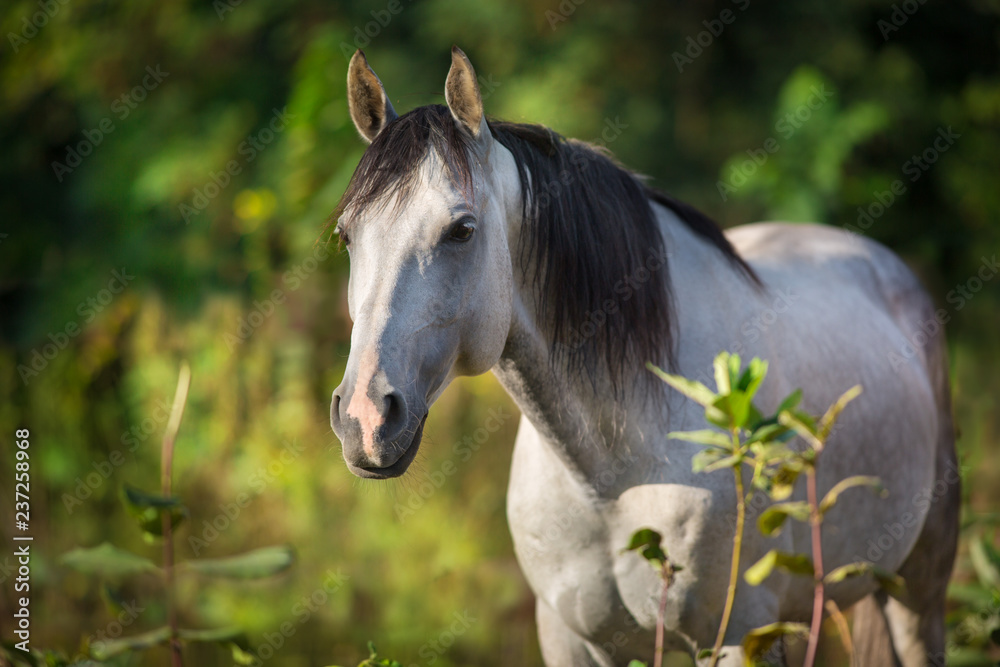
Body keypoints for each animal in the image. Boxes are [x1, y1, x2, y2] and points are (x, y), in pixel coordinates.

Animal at [329, 47, 959, 666]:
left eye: (461, 230)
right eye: (346, 236)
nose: (365, 418)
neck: (609, 475)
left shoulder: (737, 637)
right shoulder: (569, 639)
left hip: (920, 586)